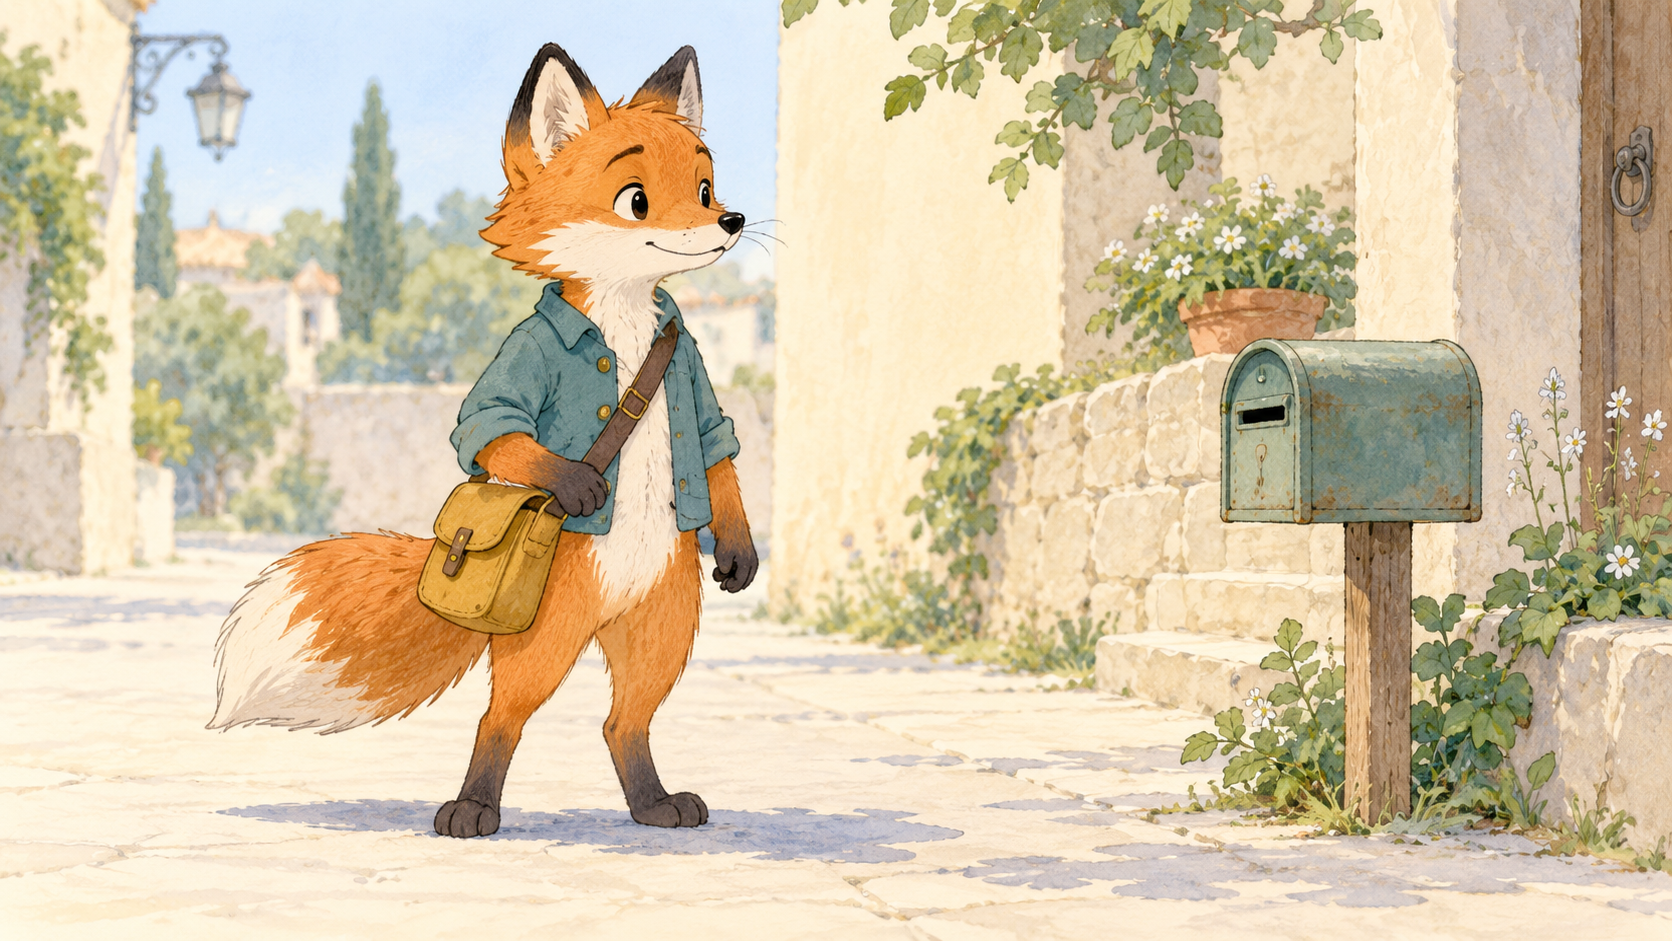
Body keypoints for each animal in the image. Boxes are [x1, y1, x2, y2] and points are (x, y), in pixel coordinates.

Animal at [209, 43, 759, 839]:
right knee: (502, 717)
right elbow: (488, 423)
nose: (733, 219)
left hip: (662, 623)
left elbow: (715, 441)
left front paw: (740, 549)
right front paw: (575, 481)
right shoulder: (516, 371)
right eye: (636, 200)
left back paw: (654, 805)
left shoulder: (685, 365)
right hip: (548, 633)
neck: (624, 321)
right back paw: (473, 808)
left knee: (623, 721)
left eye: (706, 186)